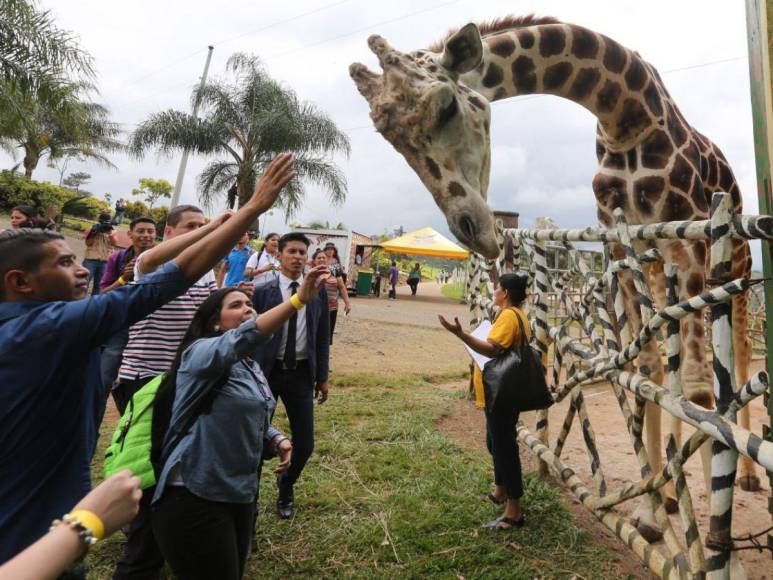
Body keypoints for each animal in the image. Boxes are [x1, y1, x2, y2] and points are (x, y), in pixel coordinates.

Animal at [352, 14, 760, 544]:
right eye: (389, 137)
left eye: (446, 106)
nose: (472, 230)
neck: (625, 114)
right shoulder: (623, 248)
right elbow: (646, 370)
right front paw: (650, 516)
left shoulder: (689, 246)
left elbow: (698, 388)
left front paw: (714, 536)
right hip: (659, 271)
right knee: (666, 363)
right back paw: (672, 496)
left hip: (734, 264)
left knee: (739, 355)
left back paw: (746, 477)